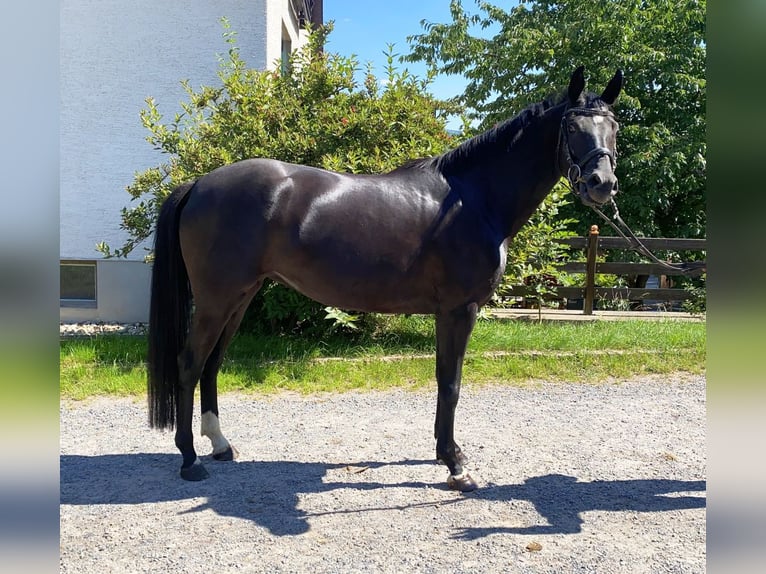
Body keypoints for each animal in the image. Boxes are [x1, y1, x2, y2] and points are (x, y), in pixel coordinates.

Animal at [147, 66, 623, 491]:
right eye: (573, 128)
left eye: (614, 128)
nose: (602, 183)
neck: (473, 199)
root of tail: (199, 184)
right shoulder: (459, 310)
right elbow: (451, 384)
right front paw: (456, 466)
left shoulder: (448, 312)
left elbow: (443, 380)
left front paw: (444, 453)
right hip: (216, 299)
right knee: (190, 363)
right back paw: (190, 459)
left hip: (241, 296)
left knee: (212, 363)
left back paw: (220, 445)